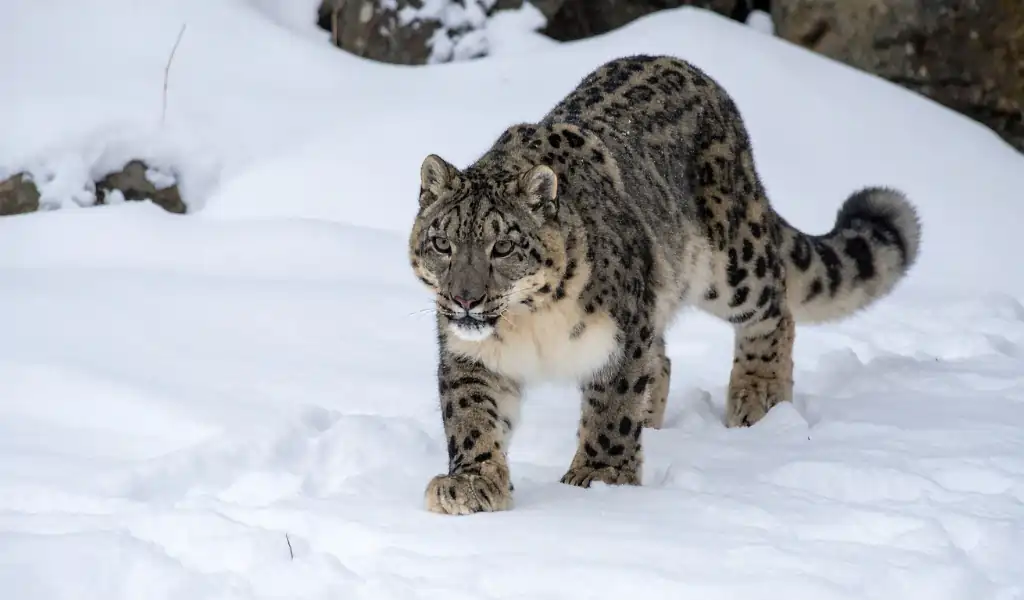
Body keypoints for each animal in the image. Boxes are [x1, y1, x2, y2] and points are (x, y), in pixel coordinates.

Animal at [407, 54, 921, 515]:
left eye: (503, 247)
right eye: (443, 243)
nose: (465, 298)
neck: (530, 324)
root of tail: (695, 73)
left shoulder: (621, 336)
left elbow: (611, 408)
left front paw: (599, 478)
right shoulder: (470, 354)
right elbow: (472, 414)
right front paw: (470, 485)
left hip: (733, 264)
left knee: (774, 311)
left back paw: (758, 400)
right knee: (665, 359)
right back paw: (654, 423)